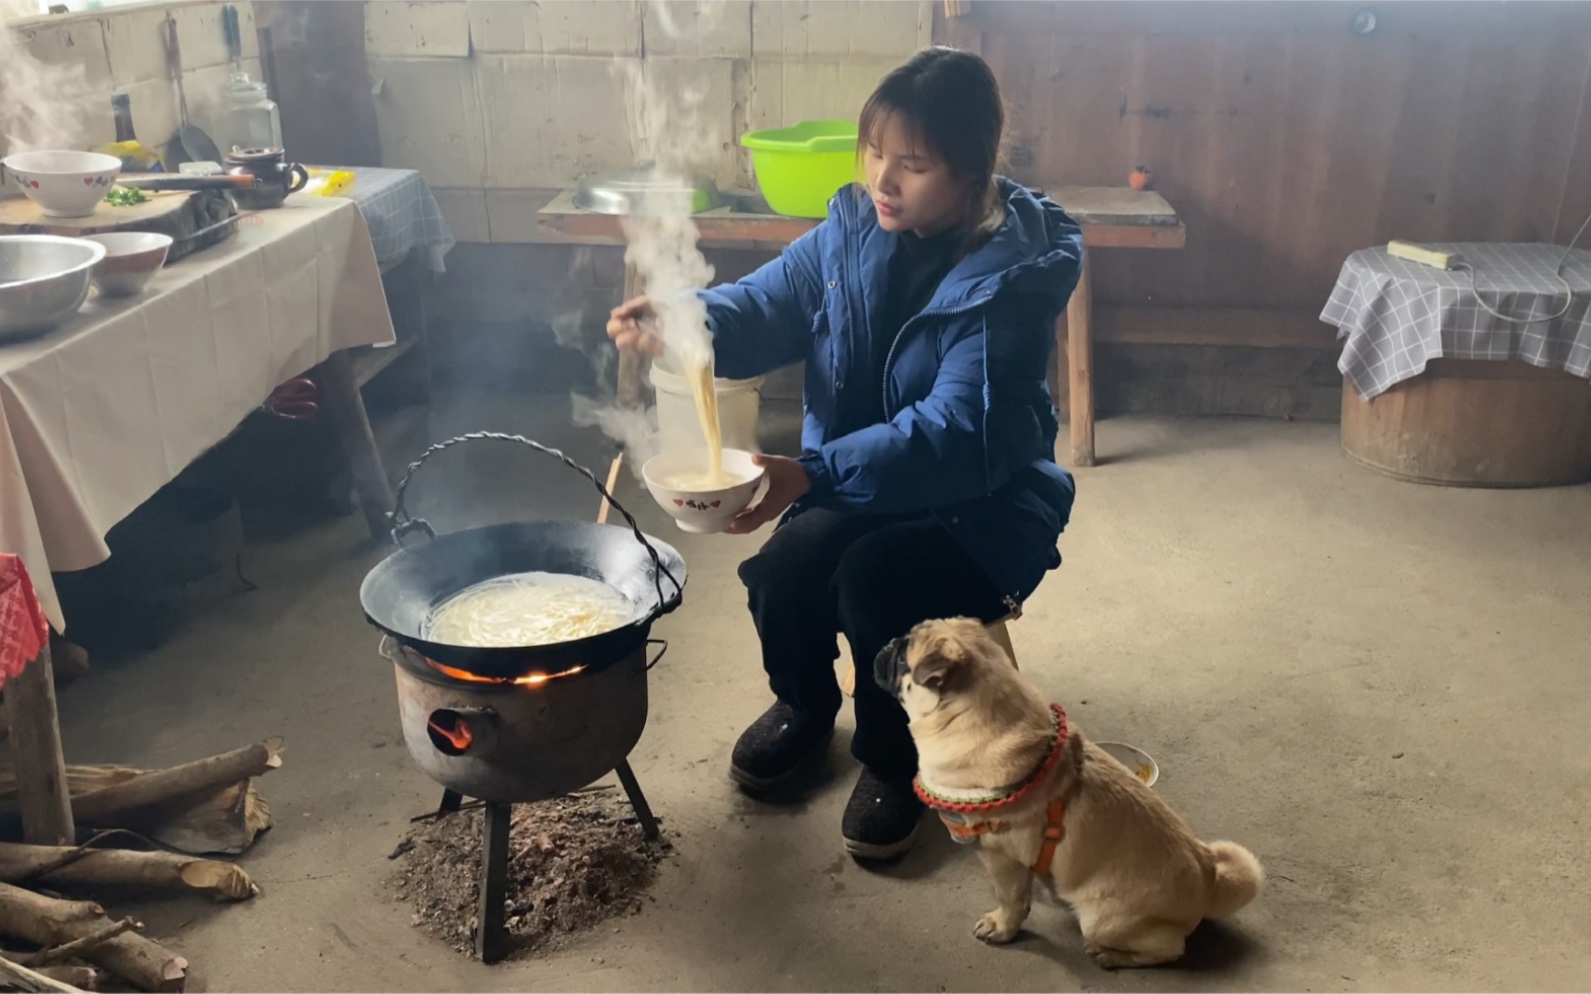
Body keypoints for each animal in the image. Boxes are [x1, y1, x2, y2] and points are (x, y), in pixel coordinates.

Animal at [878, 617, 1260, 966]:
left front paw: (1002, 927)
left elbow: (1012, 901)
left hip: (1100, 921)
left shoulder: (1001, 858)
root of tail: (1210, 877)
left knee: (1169, 951)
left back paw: (1109, 955)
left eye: (902, 659)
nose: (889, 642)